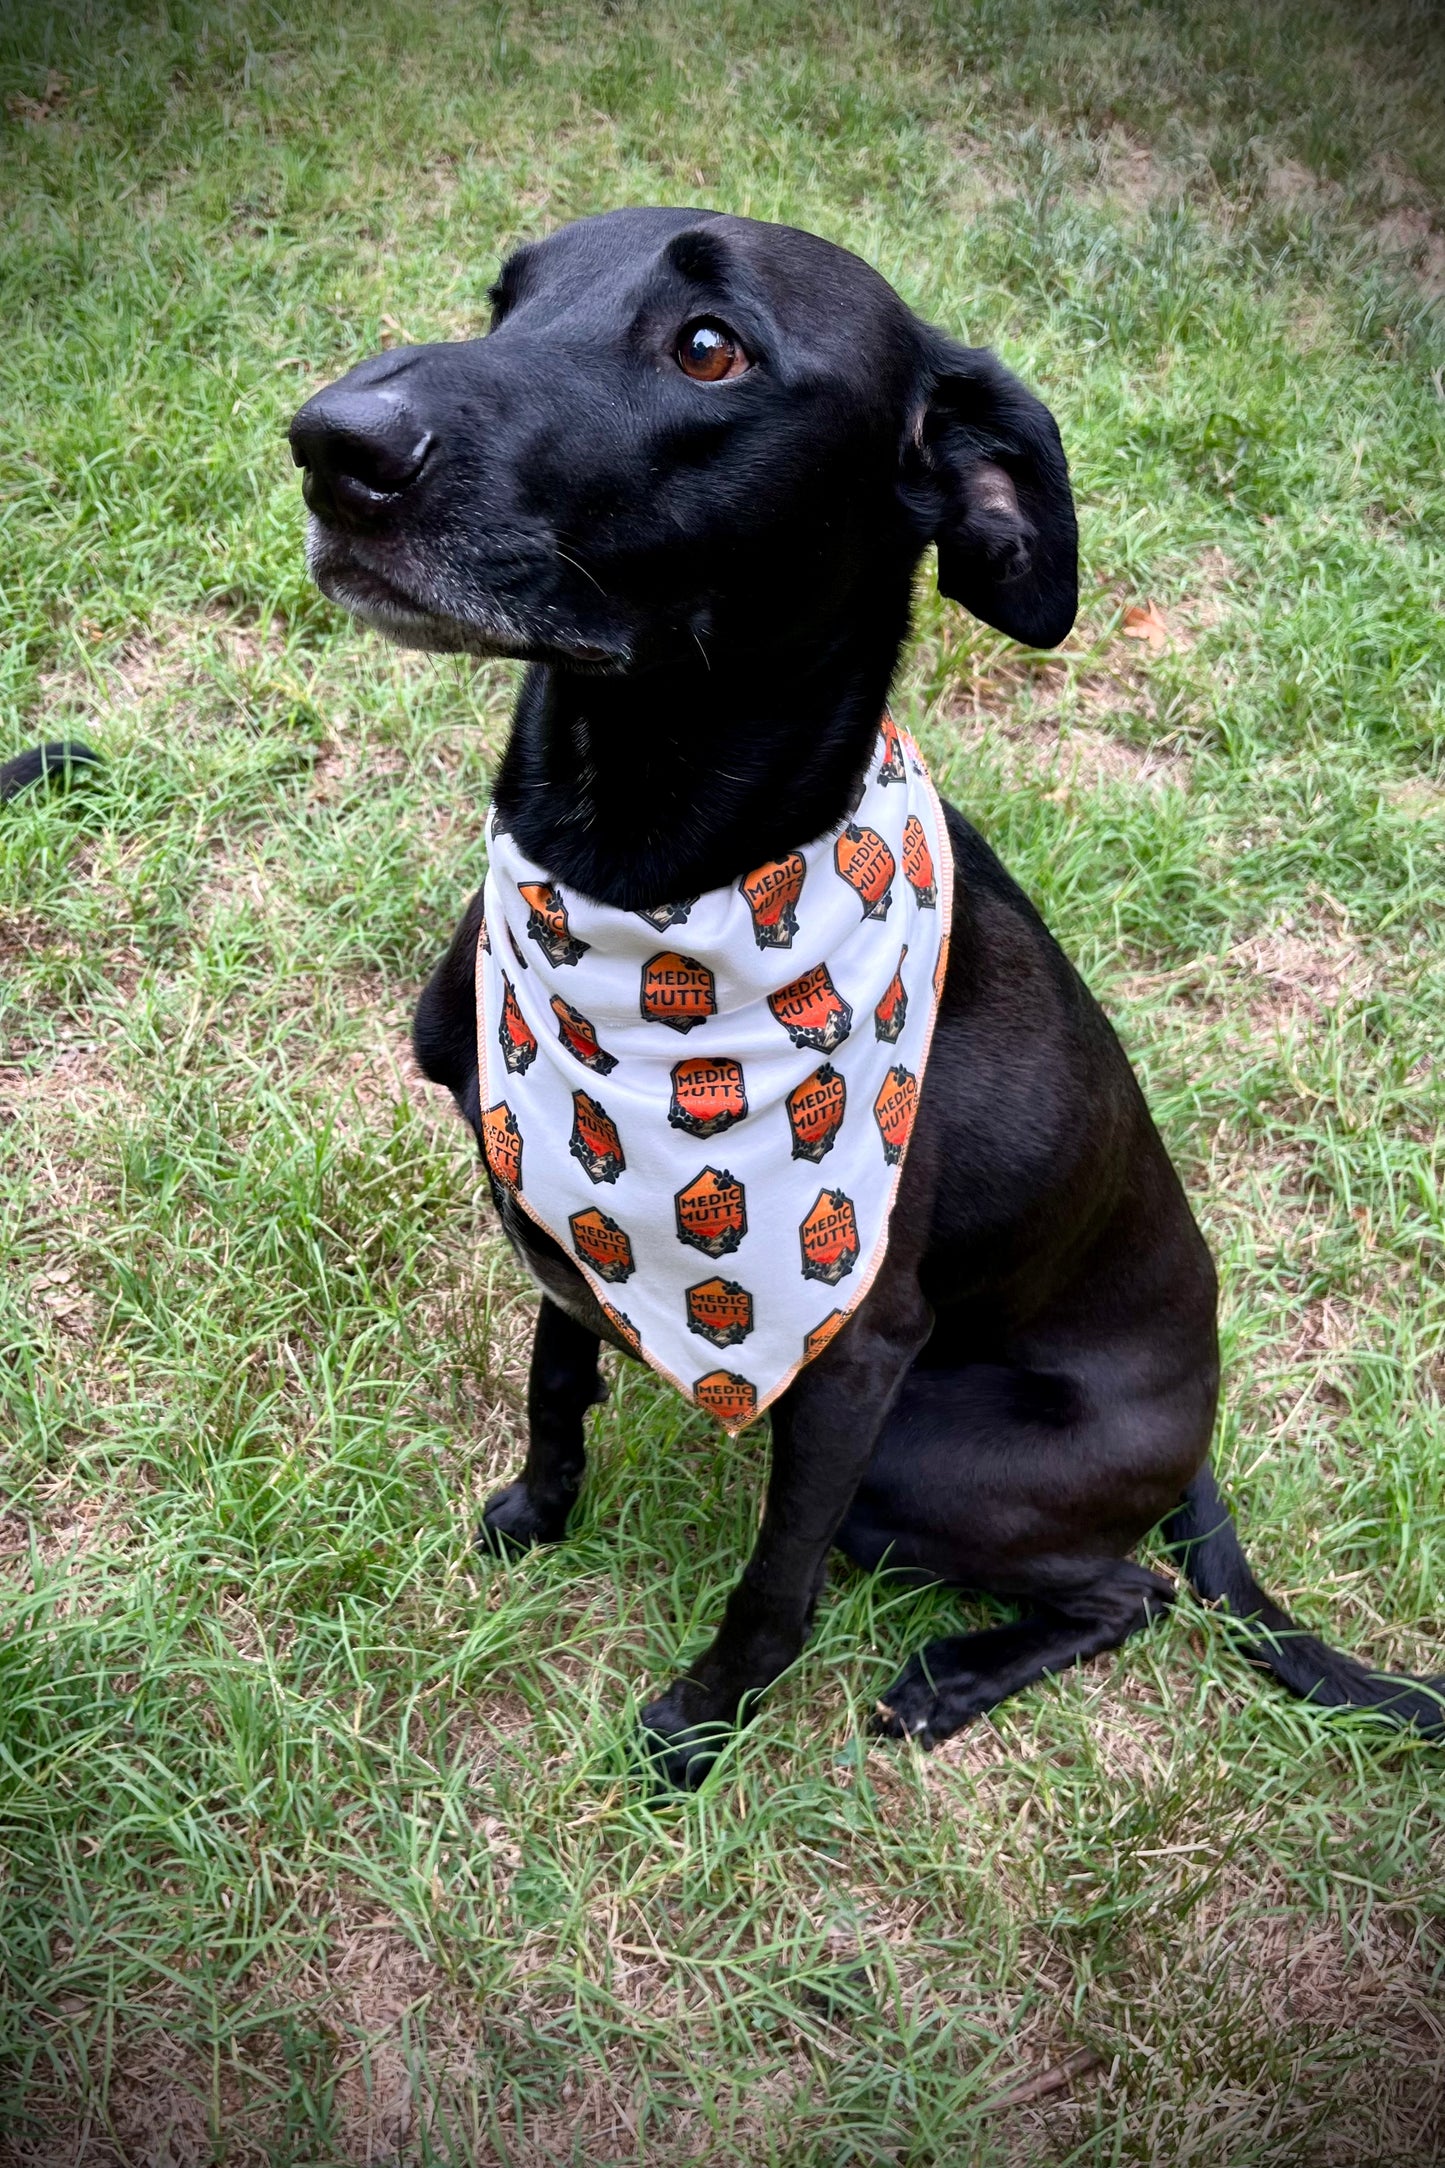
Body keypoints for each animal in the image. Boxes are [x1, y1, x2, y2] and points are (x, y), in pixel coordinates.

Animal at [288, 211, 1438, 1786]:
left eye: (711, 346)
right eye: (507, 298)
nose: (328, 443)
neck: (634, 880)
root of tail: (1197, 1438)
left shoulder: (852, 1365)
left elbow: (775, 1576)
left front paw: (706, 1722)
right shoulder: (555, 1210)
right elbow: (555, 1379)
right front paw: (537, 1512)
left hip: (922, 1453)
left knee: (1128, 1591)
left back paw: (955, 1678)